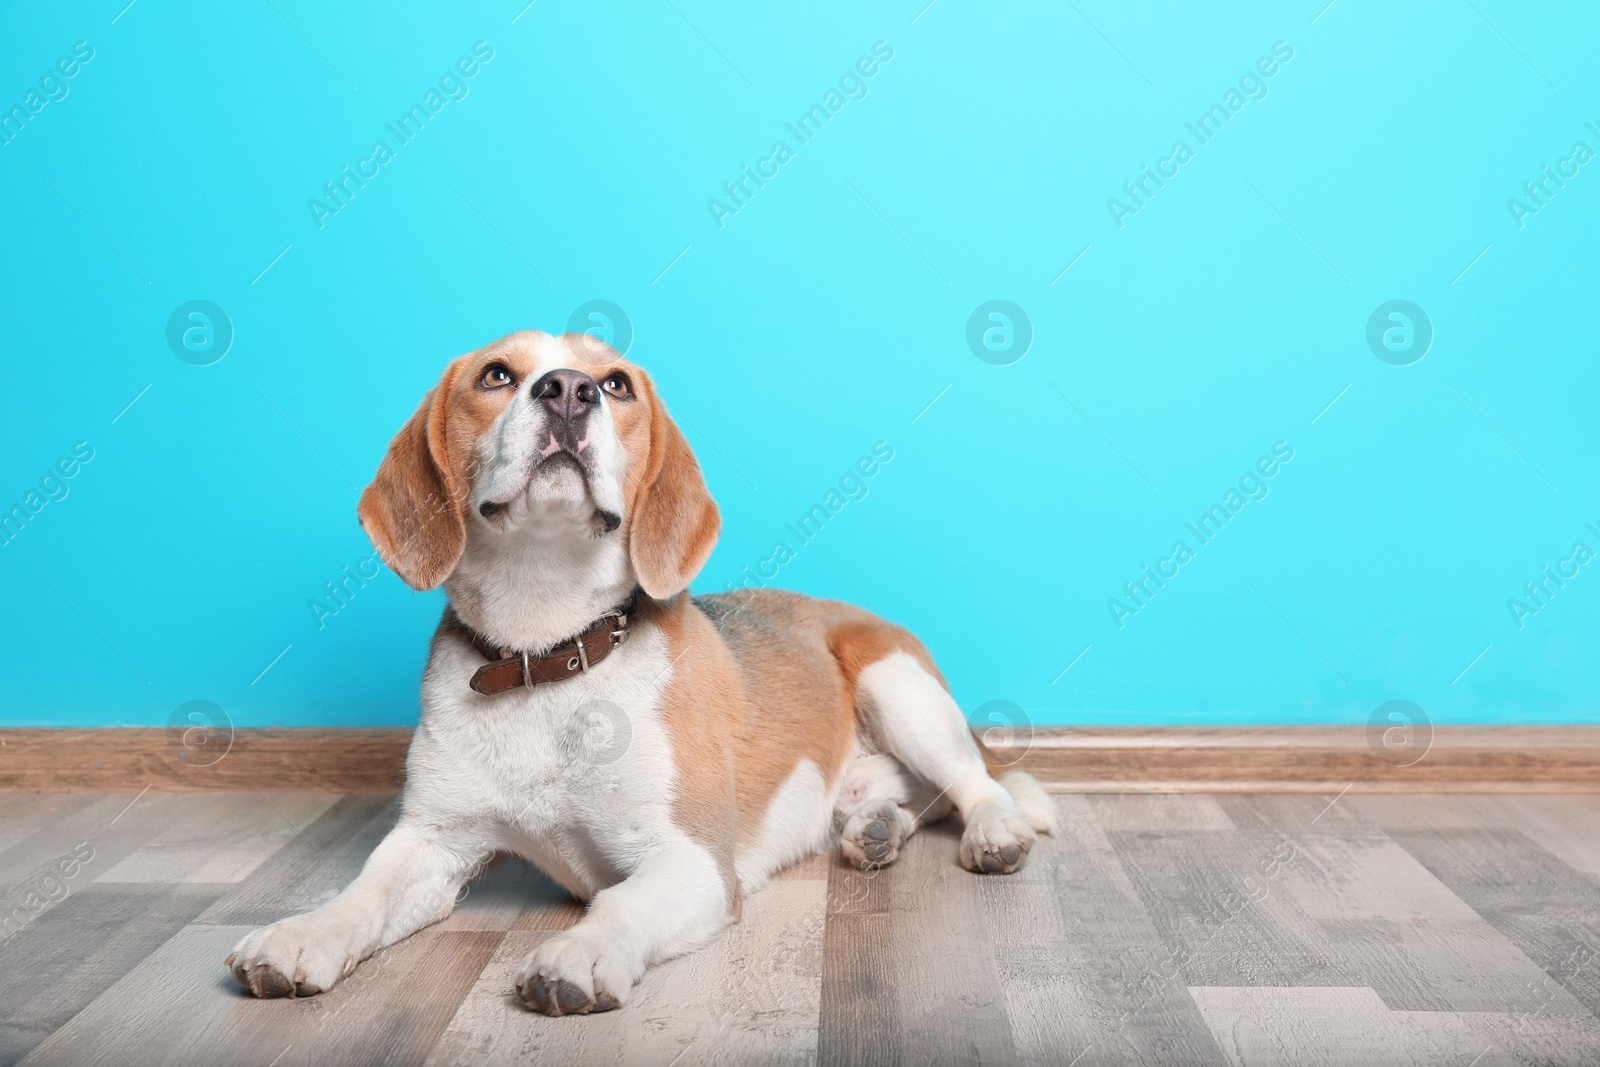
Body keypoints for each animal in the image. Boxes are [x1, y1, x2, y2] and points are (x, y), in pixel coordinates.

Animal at [222, 329, 1049, 1017]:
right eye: (497, 374)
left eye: (615, 383)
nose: (566, 389)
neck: (546, 654)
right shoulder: (431, 841)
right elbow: (361, 892)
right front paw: (303, 931)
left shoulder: (690, 859)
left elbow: (619, 904)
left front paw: (582, 951)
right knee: (911, 794)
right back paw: (876, 826)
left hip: (899, 685)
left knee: (971, 783)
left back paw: (993, 830)